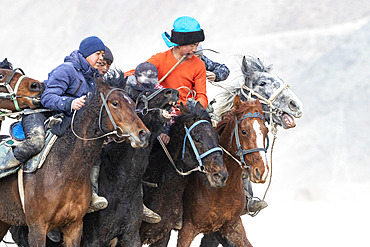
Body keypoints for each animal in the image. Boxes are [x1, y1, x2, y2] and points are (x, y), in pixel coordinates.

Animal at [0, 75, 150, 247]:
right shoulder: (37, 228)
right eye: (115, 103)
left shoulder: (75, 226)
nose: (143, 134)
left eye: (132, 103)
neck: (65, 171)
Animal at [178, 95, 268, 246]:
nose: (261, 171)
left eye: (266, 131)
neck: (220, 191)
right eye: (244, 131)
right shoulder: (186, 229)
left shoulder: (232, 226)